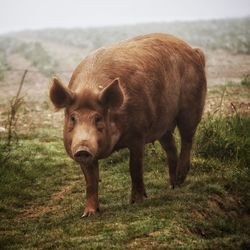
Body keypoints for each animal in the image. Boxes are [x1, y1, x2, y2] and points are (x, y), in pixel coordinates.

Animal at [49, 32, 207, 217]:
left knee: (187, 138)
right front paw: (88, 214)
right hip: (162, 125)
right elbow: (90, 181)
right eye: (73, 118)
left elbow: (135, 168)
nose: (82, 148)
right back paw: (172, 186)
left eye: (98, 118)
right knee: (171, 148)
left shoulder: (138, 134)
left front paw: (136, 202)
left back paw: (180, 179)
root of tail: (193, 50)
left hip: (191, 106)